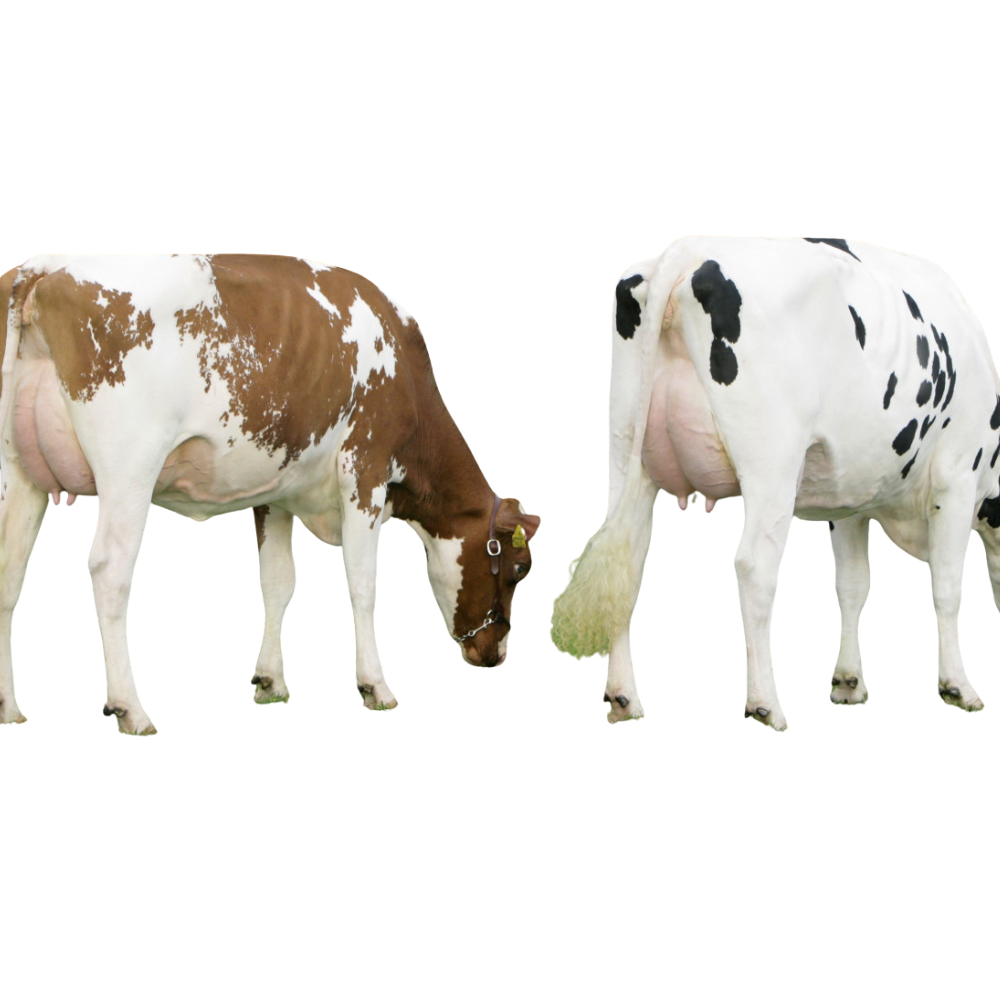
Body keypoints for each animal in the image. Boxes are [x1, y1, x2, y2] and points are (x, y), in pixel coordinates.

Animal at [0, 254, 539, 734]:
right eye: (519, 569)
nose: (494, 654)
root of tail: (42, 267)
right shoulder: (364, 472)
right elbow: (363, 584)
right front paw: (375, 685)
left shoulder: (276, 492)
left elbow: (277, 582)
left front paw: (271, 680)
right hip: (129, 465)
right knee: (110, 570)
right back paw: (131, 708)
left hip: (18, 473)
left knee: (10, 572)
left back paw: (10, 707)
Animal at [552, 236, 998, 730]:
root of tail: (690, 250)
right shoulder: (958, 476)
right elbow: (947, 586)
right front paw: (957, 686)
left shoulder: (850, 502)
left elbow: (853, 586)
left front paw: (848, 681)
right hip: (773, 463)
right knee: (753, 567)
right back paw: (765, 703)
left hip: (625, 446)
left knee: (626, 560)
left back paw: (624, 696)